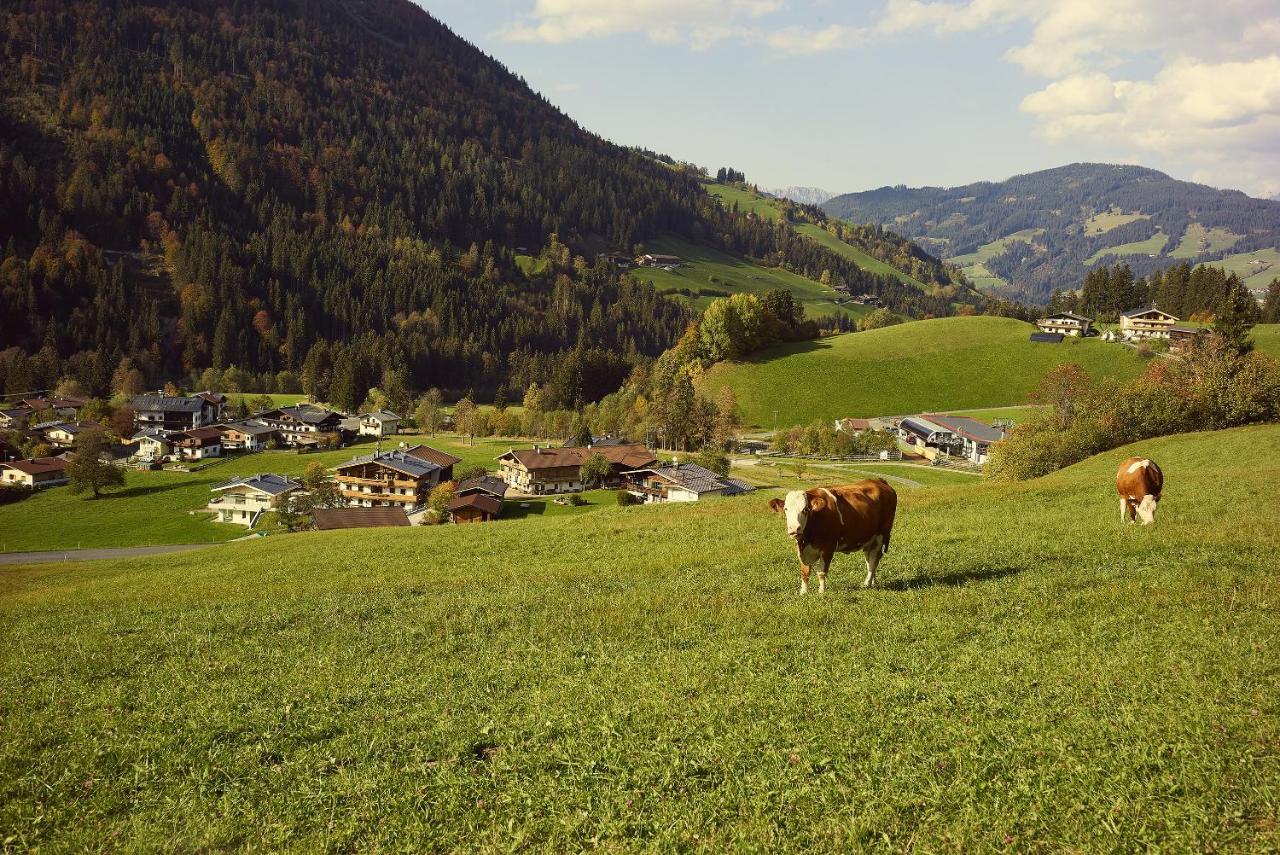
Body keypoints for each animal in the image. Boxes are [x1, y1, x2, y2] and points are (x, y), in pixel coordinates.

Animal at [768, 481, 901, 593]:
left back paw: (867, 584)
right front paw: (803, 593)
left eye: (805, 509)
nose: (794, 529)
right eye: (786, 509)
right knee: (870, 561)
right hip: (869, 540)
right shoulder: (802, 550)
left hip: (881, 536)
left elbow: (822, 572)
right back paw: (873, 582)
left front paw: (821, 592)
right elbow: (805, 572)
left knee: (874, 560)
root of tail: (879, 481)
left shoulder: (828, 547)